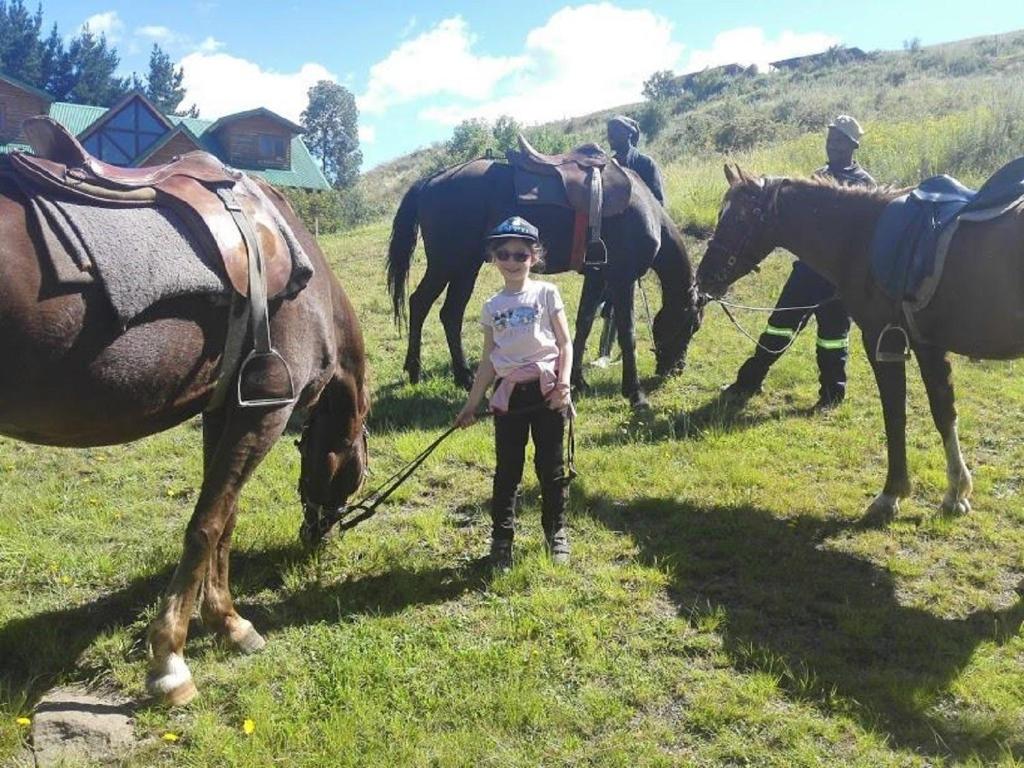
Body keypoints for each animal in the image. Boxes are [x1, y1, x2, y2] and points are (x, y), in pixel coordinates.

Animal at [0, 165, 368, 708]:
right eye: (357, 472)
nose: (315, 537)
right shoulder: (266, 411)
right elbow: (206, 527)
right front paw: (170, 660)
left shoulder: (225, 411)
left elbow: (225, 522)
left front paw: (229, 623)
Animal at [385, 157, 704, 409]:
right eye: (692, 325)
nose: (676, 369)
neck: (644, 209)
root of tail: (431, 181)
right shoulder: (621, 278)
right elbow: (628, 334)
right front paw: (635, 393)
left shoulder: (597, 277)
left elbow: (583, 323)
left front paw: (576, 380)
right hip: (448, 264)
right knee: (419, 303)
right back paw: (415, 369)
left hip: (465, 268)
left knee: (450, 313)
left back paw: (464, 377)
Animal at [696, 165, 1024, 528]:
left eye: (739, 218)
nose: (704, 276)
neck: (860, 234)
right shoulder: (929, 345)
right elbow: (944, 414)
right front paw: (955, 494)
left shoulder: (882, 340)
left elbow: (895, 416)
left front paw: (891, 495)